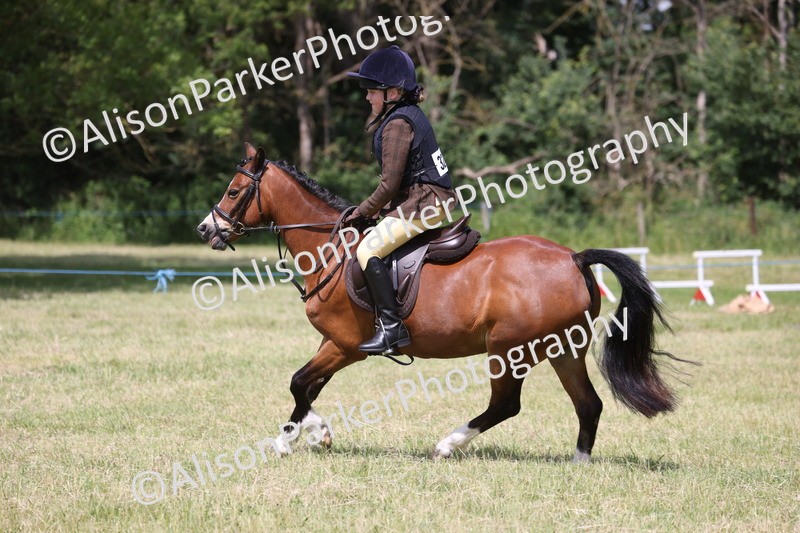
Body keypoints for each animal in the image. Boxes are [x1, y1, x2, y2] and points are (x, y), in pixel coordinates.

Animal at [197, 143, 686, 461]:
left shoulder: (347, 345)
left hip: (509, 350)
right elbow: (307, 387)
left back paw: (447, 445)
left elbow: (300, 382)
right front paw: (310, 434)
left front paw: (296, 439)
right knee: (588, 404)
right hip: (563, 348)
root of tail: (572, 256)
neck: (330, 249)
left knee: (507, 405)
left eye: (234, 191)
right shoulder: (332, 343)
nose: (206, 229)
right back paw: (578, 462)